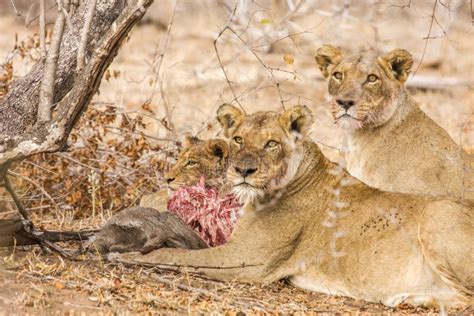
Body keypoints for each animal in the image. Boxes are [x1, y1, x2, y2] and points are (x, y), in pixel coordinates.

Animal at [108, 105, 474, 308]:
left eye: (271, 143)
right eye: (238, 139)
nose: (243, 170)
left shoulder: (247, 261)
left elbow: (175, 256)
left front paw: (124, 255)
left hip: (439, 215)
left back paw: (411, 298)